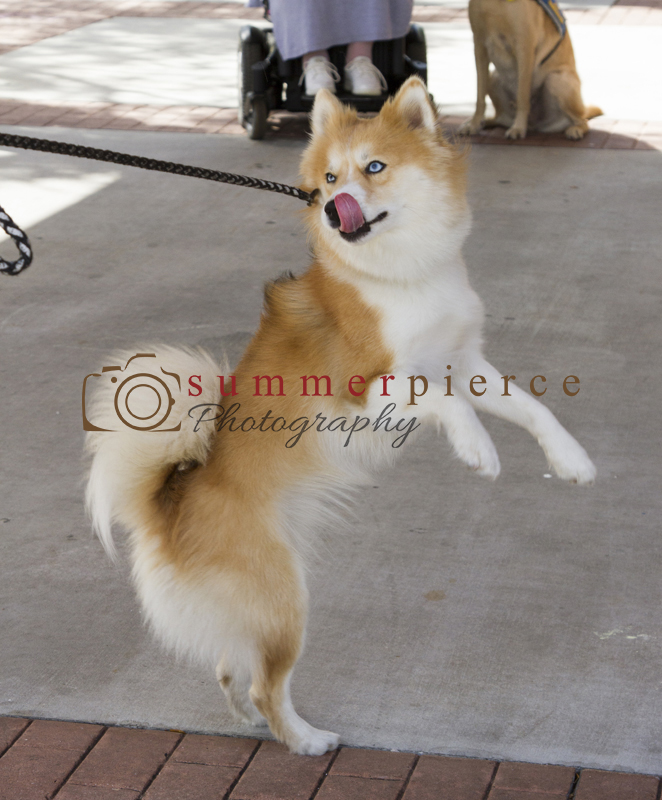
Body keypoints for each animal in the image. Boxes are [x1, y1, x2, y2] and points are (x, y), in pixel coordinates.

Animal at [85, 77, 596, 756]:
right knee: (264, 685)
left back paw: (249, 722)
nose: (332, 208)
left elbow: (532, 407)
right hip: (285, 601)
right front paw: (477, 448)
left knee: (229, 667)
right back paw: (304, 739)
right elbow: (444, 400)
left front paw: (571, 459)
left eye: (373, 168)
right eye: (328, 179)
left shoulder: (463, 359)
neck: (402, 274)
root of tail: (165, 504)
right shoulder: (368, 389)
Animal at [459, 0, 602, 139]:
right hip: (494, 77)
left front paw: (518, 128)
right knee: (499, 118)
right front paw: (474, 124)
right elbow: (480, 95)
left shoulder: (524, 47)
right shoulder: (479, 45)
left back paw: (576, 129)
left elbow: (522, 95)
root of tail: (534, 126)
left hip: (556, 80)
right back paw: (482, 122)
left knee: (583, 120)